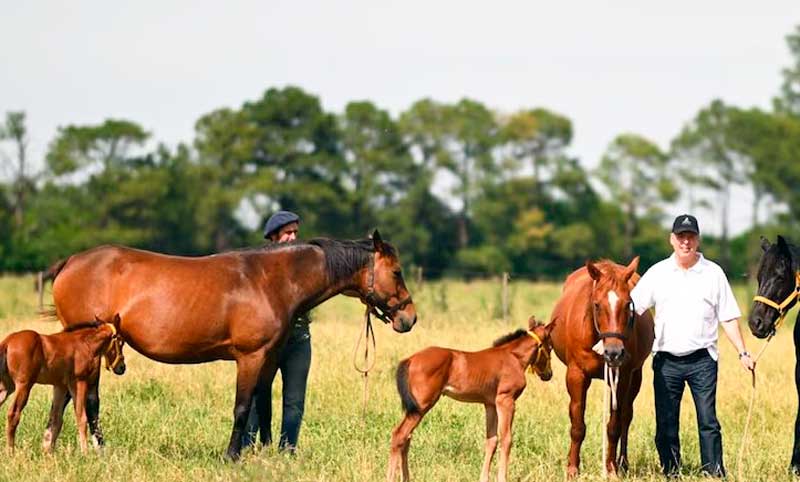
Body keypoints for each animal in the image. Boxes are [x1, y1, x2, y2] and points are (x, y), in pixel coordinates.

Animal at [0, 316, 125, 453]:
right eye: (121, 341)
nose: (122, 367)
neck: (84, 344)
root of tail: (8, 341)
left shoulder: (60, 386)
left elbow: (56, 419)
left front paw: (49, 453)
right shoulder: (79, 382)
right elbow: (81, 417)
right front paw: (85, 452)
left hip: (6, 388)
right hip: (24, 386)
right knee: (13, 414)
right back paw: (11, 452)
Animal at [49, 230, 417, 460]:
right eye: (397, 272)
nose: (409, 318)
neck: (271, 280)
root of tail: (71, 262)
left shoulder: (269, 358)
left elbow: (264, 407)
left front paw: (265, 454)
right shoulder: (250, 358)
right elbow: (242, 407)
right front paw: (232, 455)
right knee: (89, 399)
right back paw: (97, 448)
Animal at [387, 316, 554, 482]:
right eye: (550, 347)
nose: (548, 374)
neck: (513, 358)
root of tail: (410, 359)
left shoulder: (490, 404)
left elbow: (491, 440)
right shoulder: (506, 401)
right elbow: (506, 439)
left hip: (415, 409)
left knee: (407, 437)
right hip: (421, 407)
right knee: (399, 435)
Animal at [549, 258, 654, 477]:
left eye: (628, 304)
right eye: (597, 305)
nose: (614, 352)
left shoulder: (622, 376)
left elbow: (614, 426)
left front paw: (611, 468)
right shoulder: (576, 375)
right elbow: (577, 424)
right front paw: (572, 468)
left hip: (635, 377)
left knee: (626, 416)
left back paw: (623, 463)